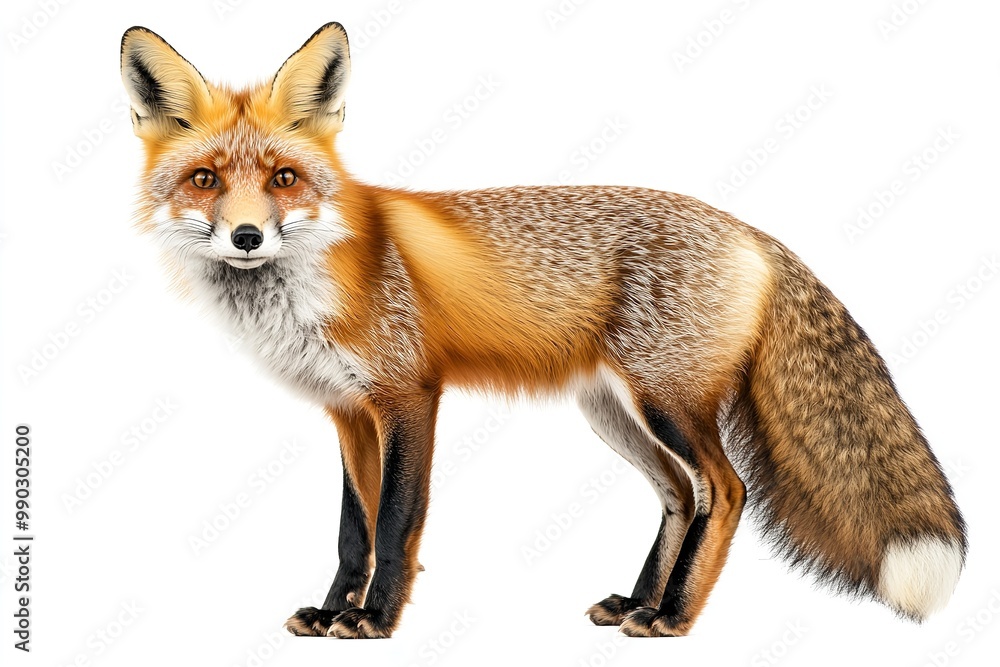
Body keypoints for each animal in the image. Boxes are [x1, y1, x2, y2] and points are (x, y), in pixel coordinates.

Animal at [120, 23, 967, 639]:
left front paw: (375, 620)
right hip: (615, 414)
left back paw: (673, 616)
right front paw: (334, 610)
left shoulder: (408, 396)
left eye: (284, 179)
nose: (247, 237)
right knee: (679, 495)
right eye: (205, 180)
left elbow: (396, 522)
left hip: (667, 403)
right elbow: (352, 530)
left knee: (726, 491)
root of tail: (751, 231)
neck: (311, 282)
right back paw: (637, 601)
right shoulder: (348, 412)